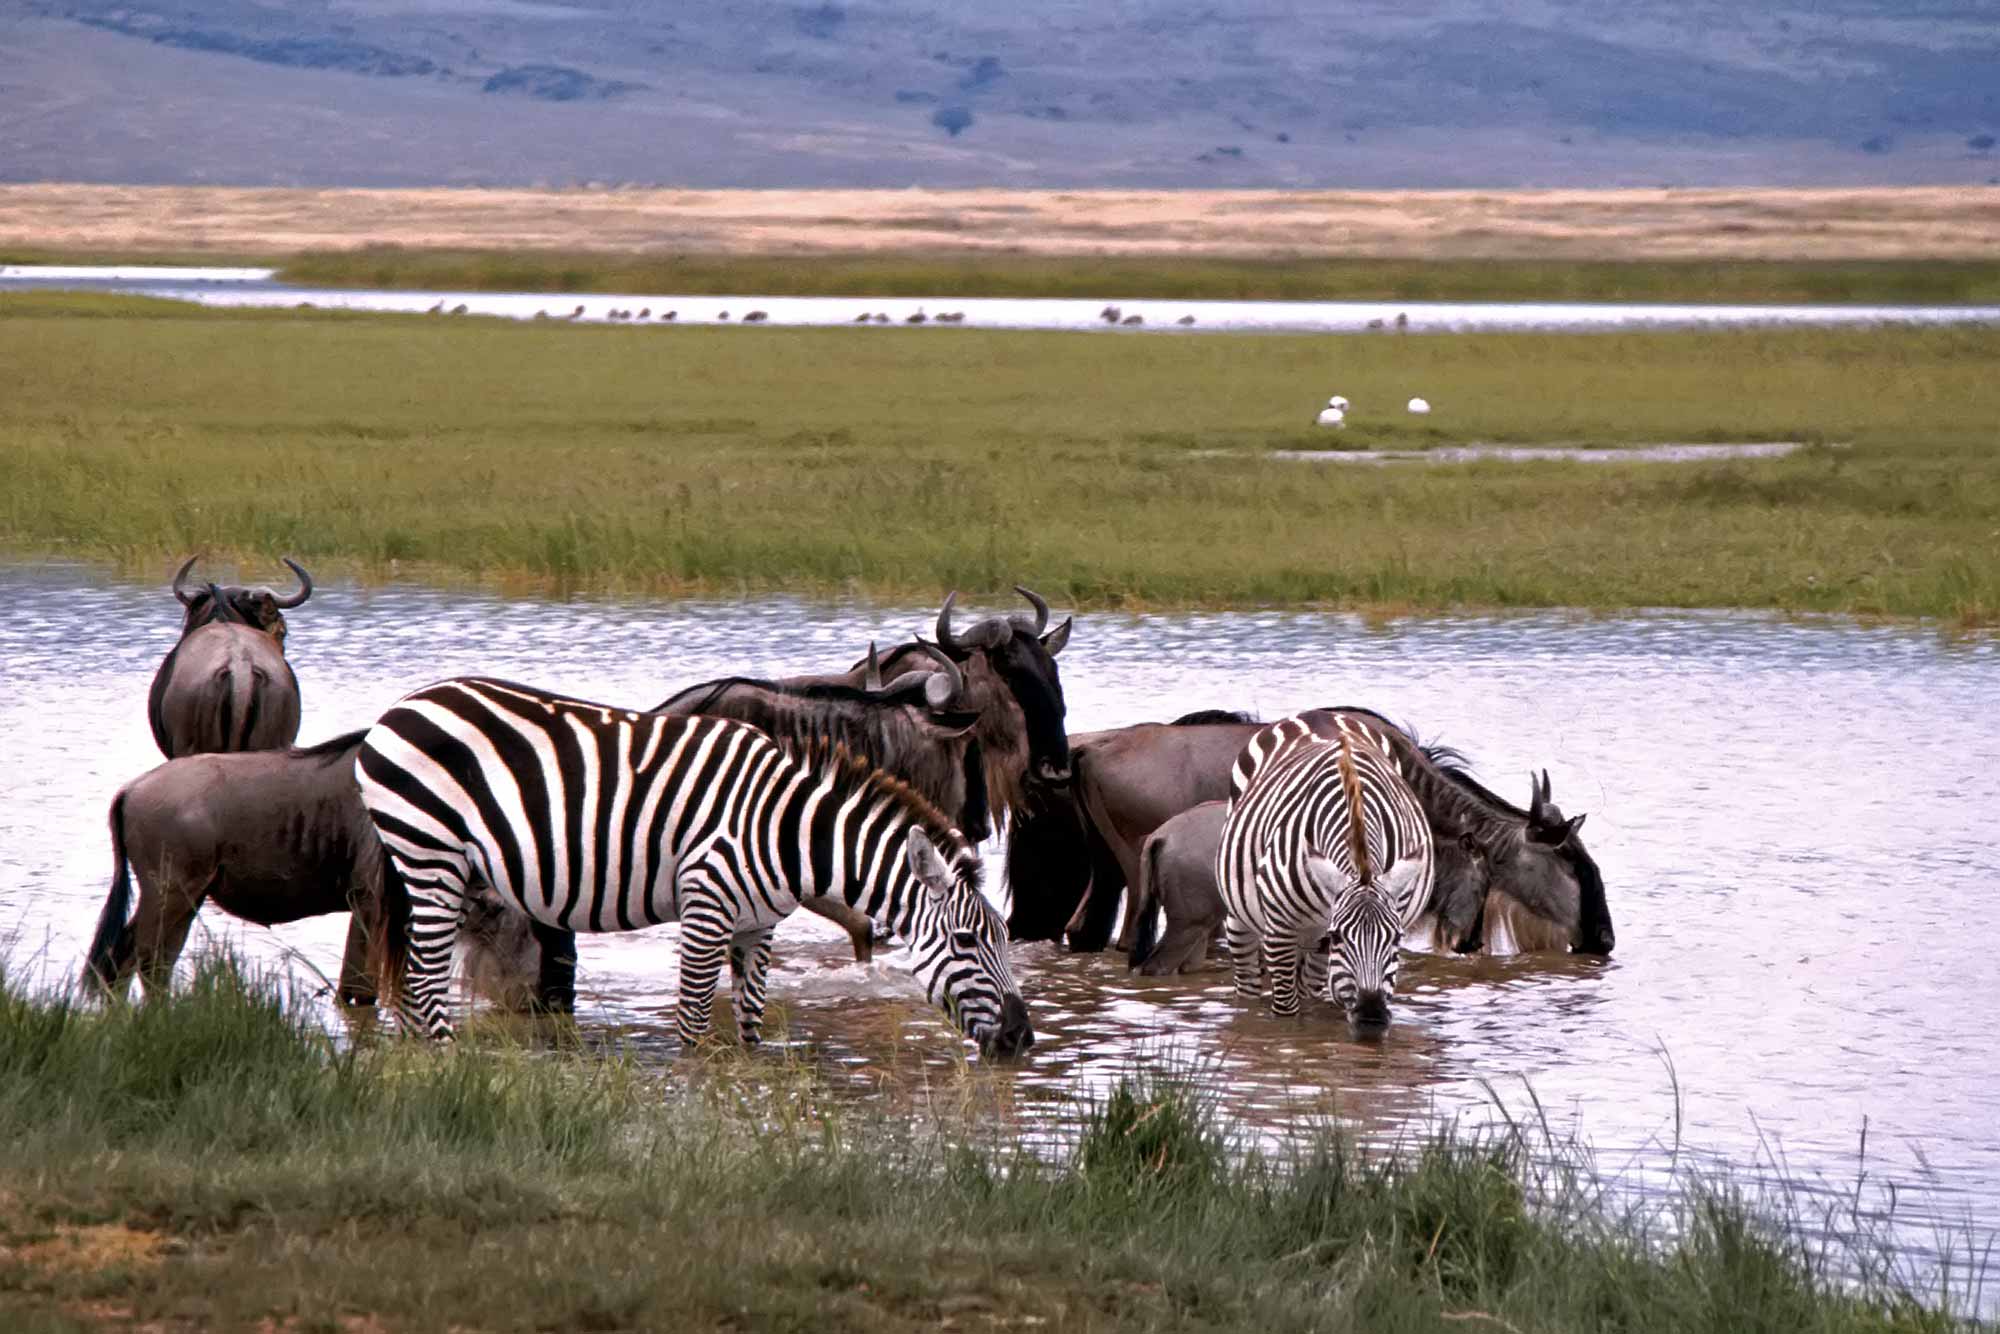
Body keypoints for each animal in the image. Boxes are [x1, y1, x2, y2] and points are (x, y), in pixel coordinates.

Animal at [360, 684, 1040, 1056]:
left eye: (1006, 939)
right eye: (967, 942)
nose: (1022, 1039)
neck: (788, 832)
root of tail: (404, 704)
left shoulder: (758, 927)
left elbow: (750, 1025)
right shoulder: (705, 909)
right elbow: (691, 1024)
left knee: (415, 982)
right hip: (431, 856)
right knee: (425, 981)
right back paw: (447, 1064)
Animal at [1208, 716, 1432, 1032]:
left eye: (1397, 938)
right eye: (1338, 936)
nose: (1372, 1017)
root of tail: (1321, 713)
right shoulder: (1280, 930)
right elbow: (1286, 1010)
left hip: (1312, 938)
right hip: (1240, 917)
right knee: (1247, 985)